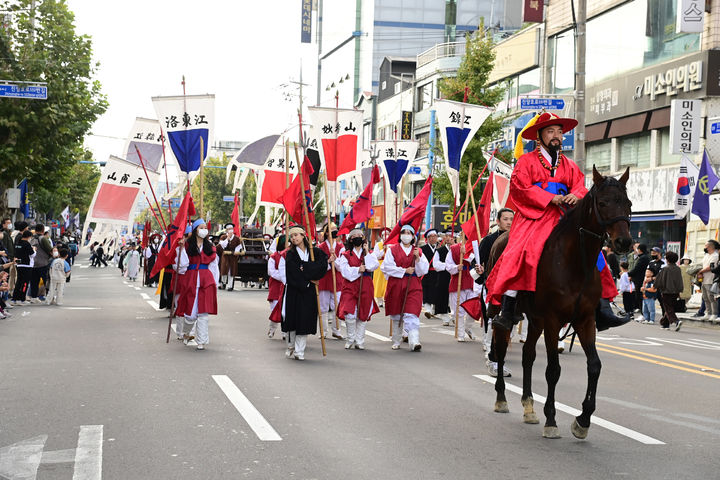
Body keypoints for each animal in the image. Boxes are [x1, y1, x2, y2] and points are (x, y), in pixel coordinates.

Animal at [486, 165, 632, 438]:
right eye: (603, 202)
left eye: (627, 203)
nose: (624, 242)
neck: (574, 262)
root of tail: (500, 237)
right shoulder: (553, 319)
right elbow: (553, 369)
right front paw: (552, 420)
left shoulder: (585, 319)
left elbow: (594, 366)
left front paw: (583, 420)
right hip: (503, 310)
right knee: (500, 349)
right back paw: (501, 398)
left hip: (535, 319)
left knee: (528, 354)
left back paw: (529, 406)